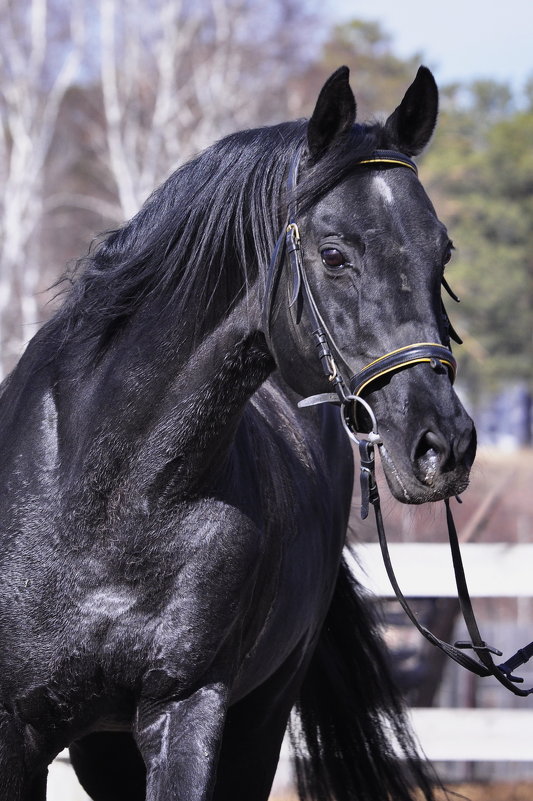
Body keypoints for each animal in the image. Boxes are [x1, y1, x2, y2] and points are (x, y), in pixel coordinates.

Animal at [0, 65, 474, 796]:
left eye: (441, 253)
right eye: (334, 255)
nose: (443, 445)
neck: (104, 496)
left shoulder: (185, 711)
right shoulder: (17, 730)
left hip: (255, 720)